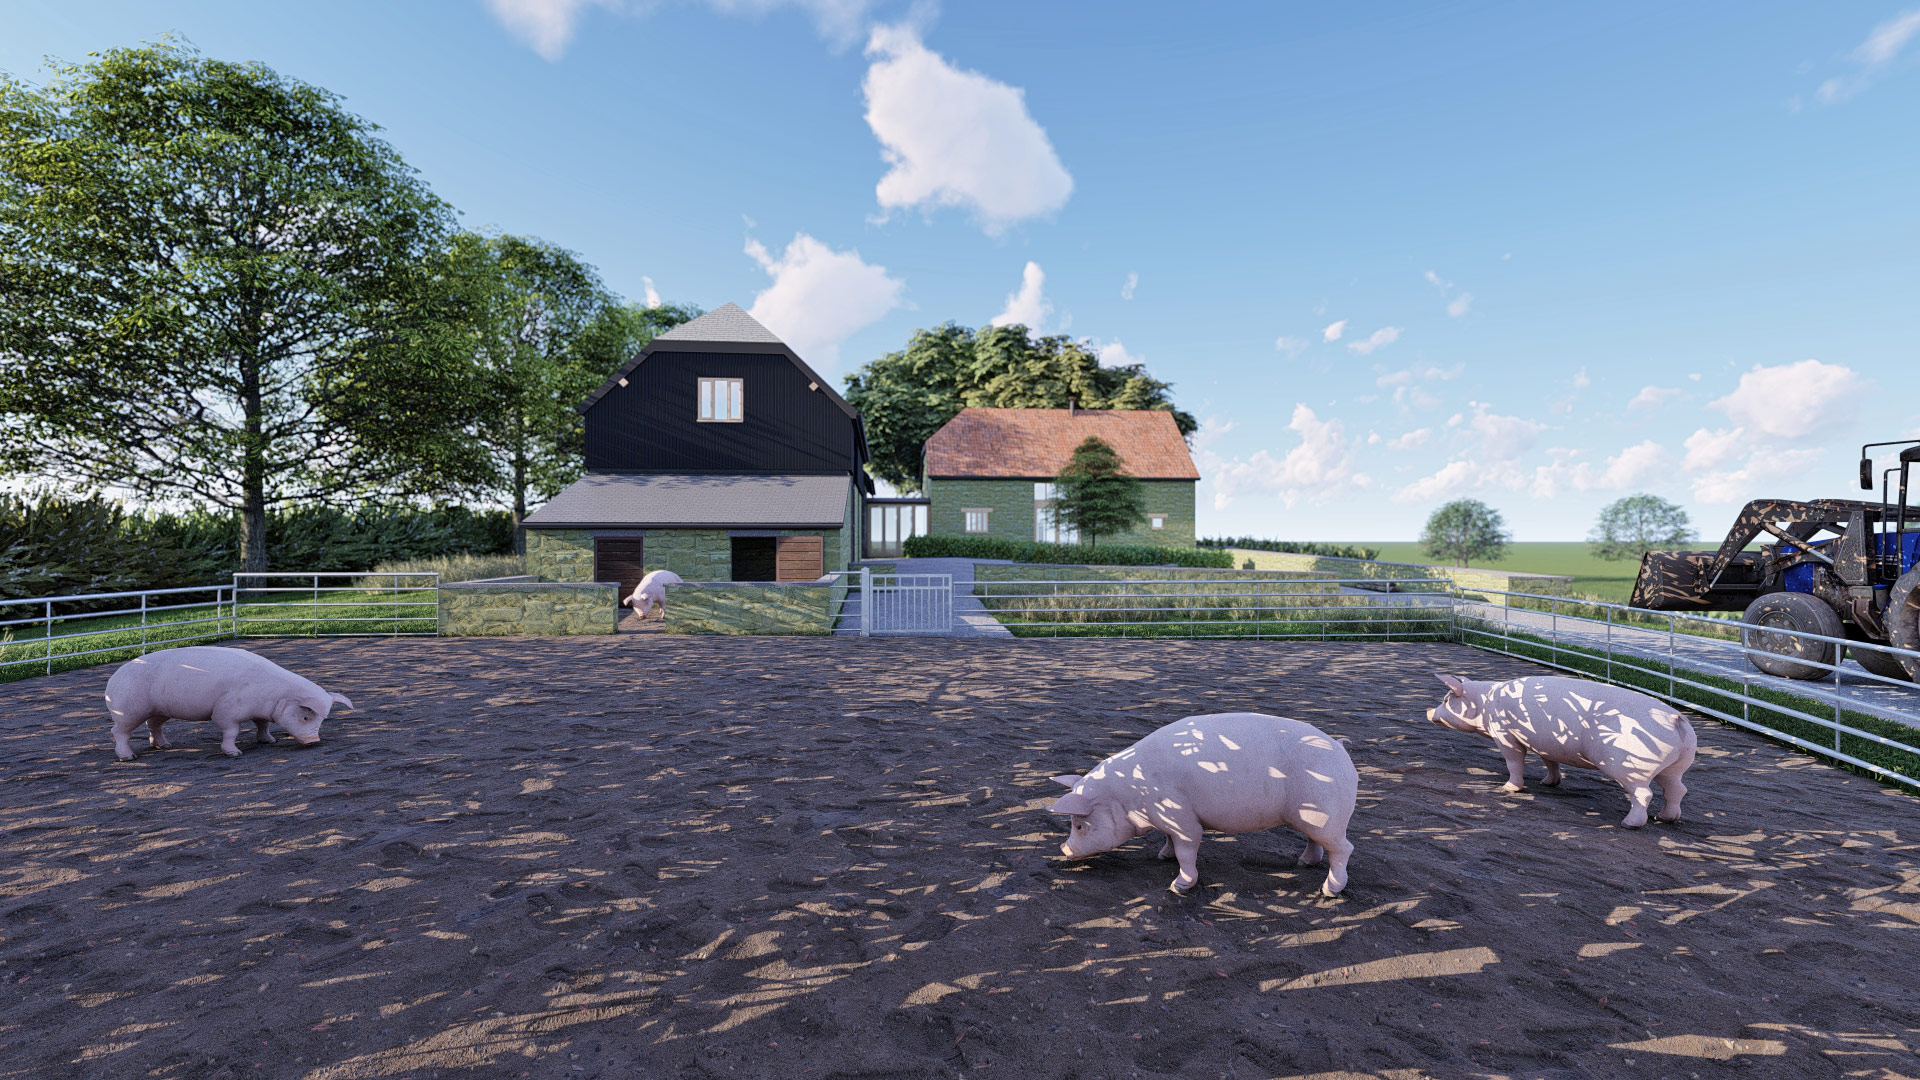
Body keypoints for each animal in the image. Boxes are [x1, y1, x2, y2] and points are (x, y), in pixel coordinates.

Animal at [104, 646, 354, 761]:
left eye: (321, 720)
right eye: (305, 716)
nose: (314, 741)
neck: (275, 695)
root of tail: (111, 681)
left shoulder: (261, 712)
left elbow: (262, 725)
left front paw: (269, 741)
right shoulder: (227, 710)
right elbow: (231, 731)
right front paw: (235, 753)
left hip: (159, 710)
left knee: (154, 725)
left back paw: (166, 746)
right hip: (127, 710)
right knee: (118, 731)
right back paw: (128, 757)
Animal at [1049, 712, 1359, 897]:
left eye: (1080, 824)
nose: (1064, 849)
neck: (1129, 796)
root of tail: (1340, 747)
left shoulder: (1182, 819)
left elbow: (1187, 850)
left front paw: (1178, 887)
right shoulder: (1168, 821)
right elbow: (1169, 841)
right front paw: (1162, 856)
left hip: (1327, 816)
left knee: (1344, 849)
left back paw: (1330, 890)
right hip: (1313, 818)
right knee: (1316, 843)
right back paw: (1302, 863)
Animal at [1426, 674, 1696, 827]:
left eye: (1447, 700)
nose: (1428, 712)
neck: (1486, 703)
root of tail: (1677, 719)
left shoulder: (1505, 735)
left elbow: (1514, 762)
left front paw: (1509, 788)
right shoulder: (1546, 743)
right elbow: (1550, 762)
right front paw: (1548, 783)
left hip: (1631, 767)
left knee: (1644, 794)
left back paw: (1629, 824)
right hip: (1676, 766)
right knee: (1677, 789)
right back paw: (1666, 818)